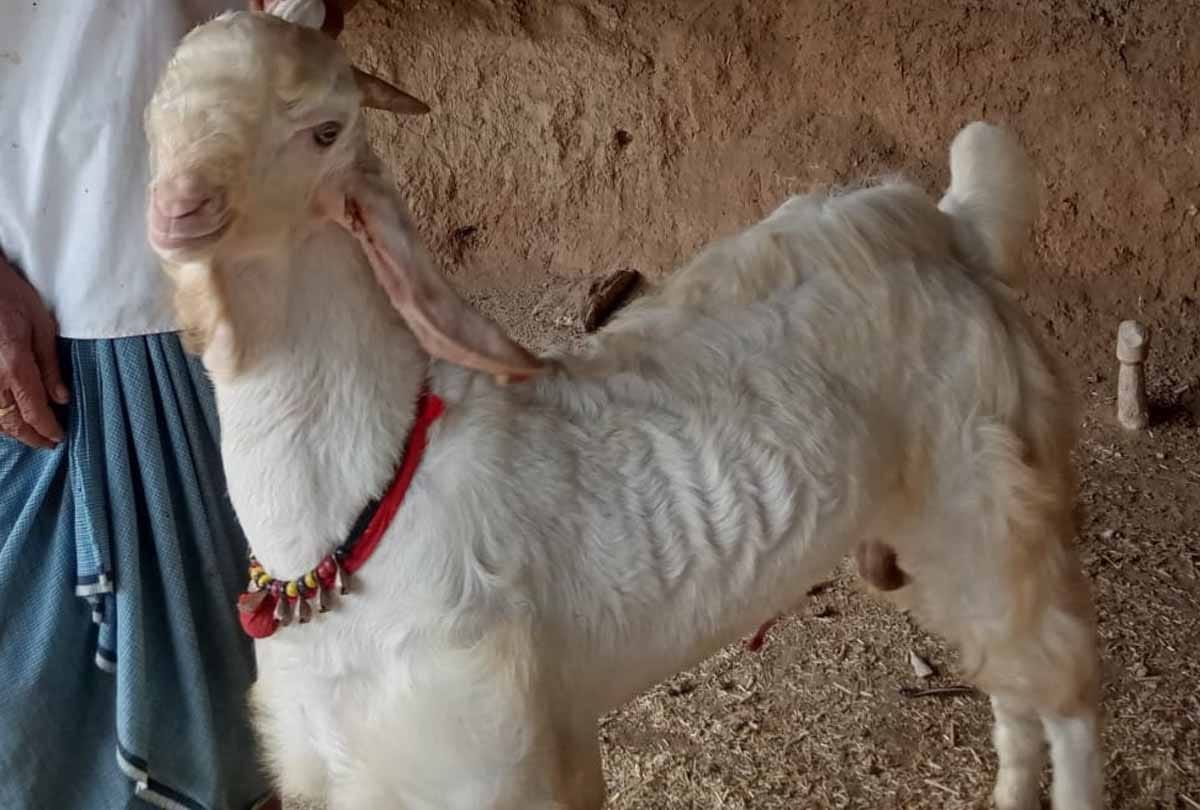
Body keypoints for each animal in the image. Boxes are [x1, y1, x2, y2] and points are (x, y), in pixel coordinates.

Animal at [145, 12, 1102, 810]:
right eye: (156, 116)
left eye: (324, 129)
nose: (179, 209)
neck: (369, 506)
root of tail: (953, 225)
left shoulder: (486, 757)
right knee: (1010, 678)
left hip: (991, 498)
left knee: (1061, 685)